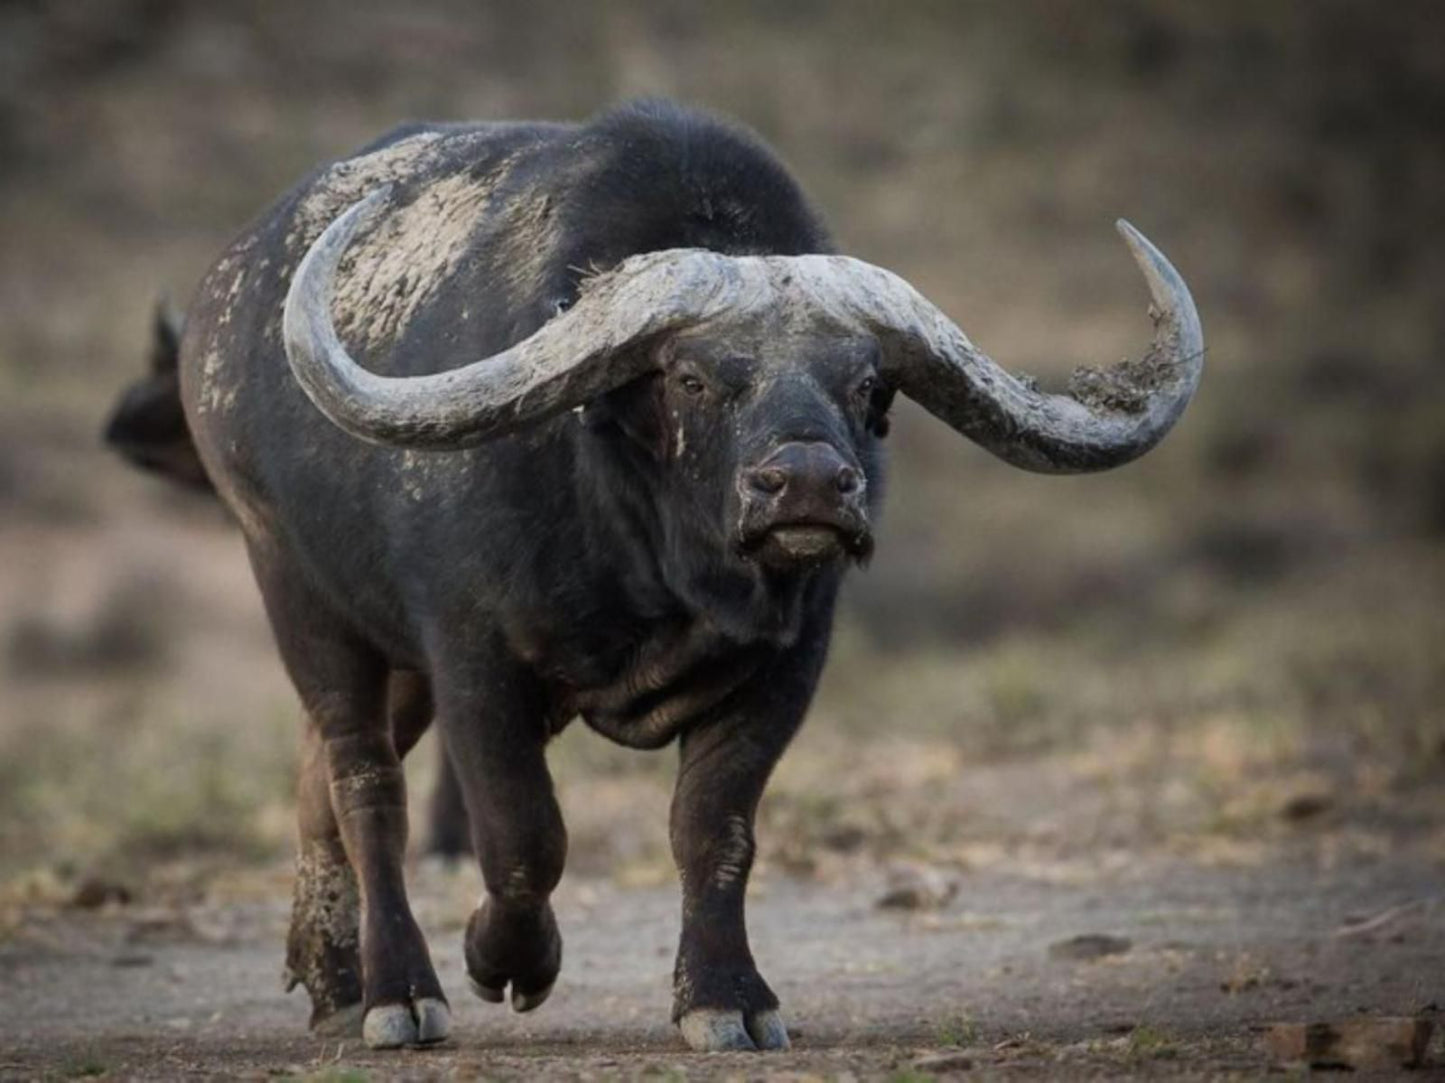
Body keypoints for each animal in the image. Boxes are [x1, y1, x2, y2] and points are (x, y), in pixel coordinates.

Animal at [106, 99, 1202, 1046]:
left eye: (867, 385)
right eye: (691, 377)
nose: (808, 485)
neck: (653, 566)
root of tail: (229, 299)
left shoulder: (785, 668)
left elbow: (714, 828)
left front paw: (725, 998)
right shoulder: (472, 662)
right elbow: (522, 835)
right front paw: (506, 959)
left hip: (392, 659)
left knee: (314, 790)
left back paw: (333, 983)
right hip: (301, 598)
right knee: (361, 782)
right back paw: (397, 995)